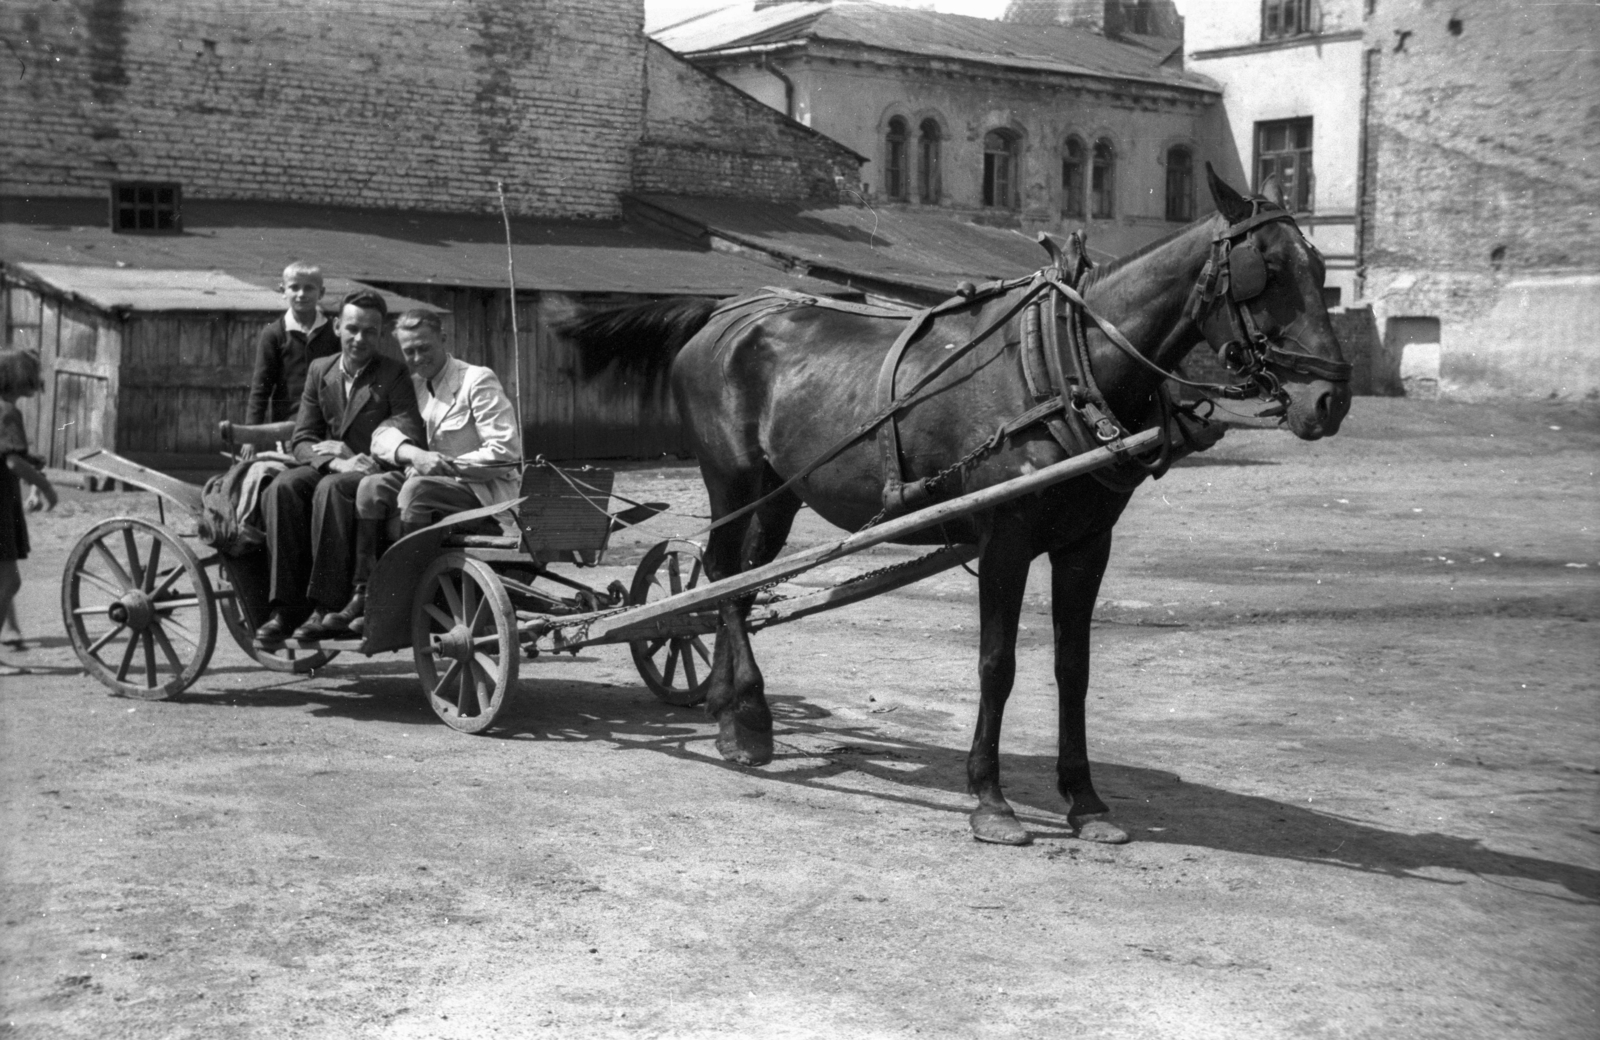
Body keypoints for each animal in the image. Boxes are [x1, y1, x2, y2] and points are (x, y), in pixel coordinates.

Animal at [566, 168, 1350, 844]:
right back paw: (745, 721)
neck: (1062, 363)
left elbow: (1074, 668)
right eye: (1265, 270)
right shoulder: (1005, 538)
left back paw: (733, 708)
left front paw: (1085, 801)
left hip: (782, 491)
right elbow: (996, 664)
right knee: (725, 576)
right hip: (730, 476)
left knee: (742, 580)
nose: (1330, 399)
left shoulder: (1086, 544)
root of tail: (729, 310)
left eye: (1321, 271)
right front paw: (990, 800)